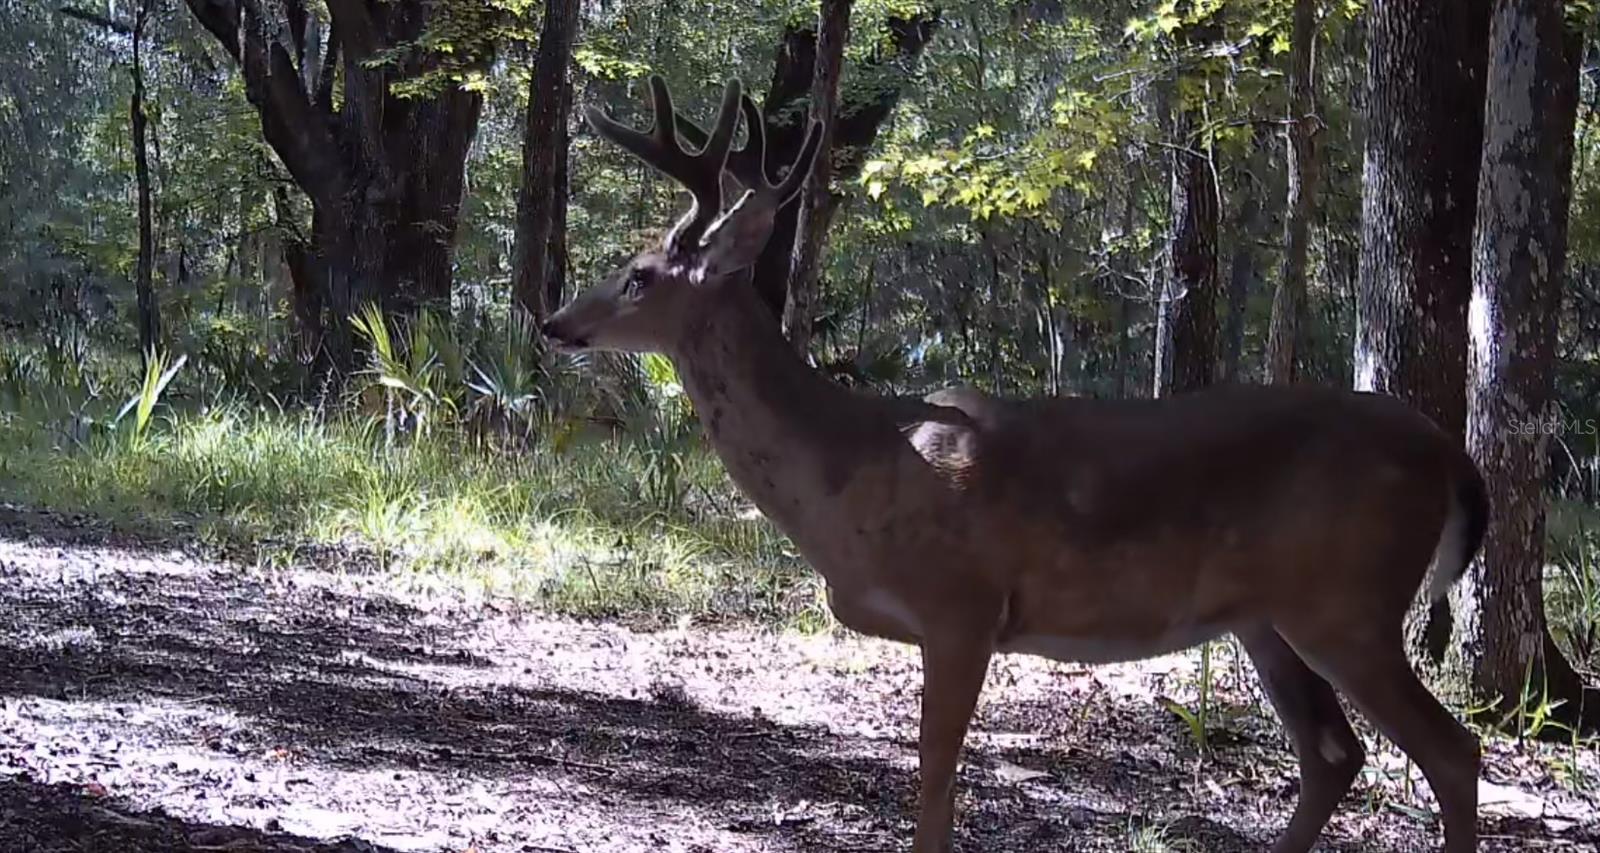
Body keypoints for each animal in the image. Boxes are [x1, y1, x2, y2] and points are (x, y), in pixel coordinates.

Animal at [544, 74, 1491, 851]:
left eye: (638, 273)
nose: (555, 322)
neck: (855, 467)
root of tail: (1451, 454)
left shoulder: (962, 604)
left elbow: (935, 785)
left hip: (1349, 600)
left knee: (1452, 749)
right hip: (1268, 616)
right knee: (1335, 753)